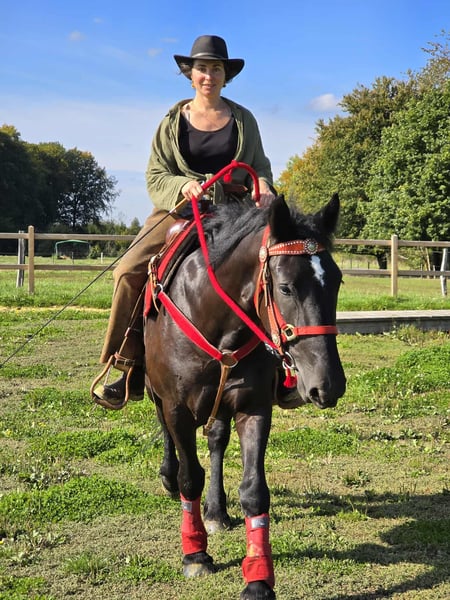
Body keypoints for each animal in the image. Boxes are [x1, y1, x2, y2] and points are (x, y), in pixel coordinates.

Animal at [143, 192, 346, 600]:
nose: (329, 384)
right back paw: (170, 479)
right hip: (159, 395)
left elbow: (254, 491)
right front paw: (195, 555)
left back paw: (216, 511)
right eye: (285, 287)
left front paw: (257, 578)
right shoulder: (177, 409)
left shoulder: (253, 408)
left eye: (336, 281)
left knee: (217, 441)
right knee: (168, 438)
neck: (211, 317)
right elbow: (190, 476)